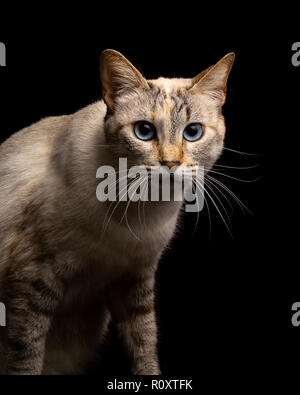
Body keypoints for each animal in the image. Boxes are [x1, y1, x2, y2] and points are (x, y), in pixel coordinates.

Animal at [0, 48, 234, 374]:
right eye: (144, 131)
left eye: (193, 132)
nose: (171, 163)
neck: (139, 212)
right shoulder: (31, 280)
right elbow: (26, 356)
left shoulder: (135, 280)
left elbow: (144, 344)